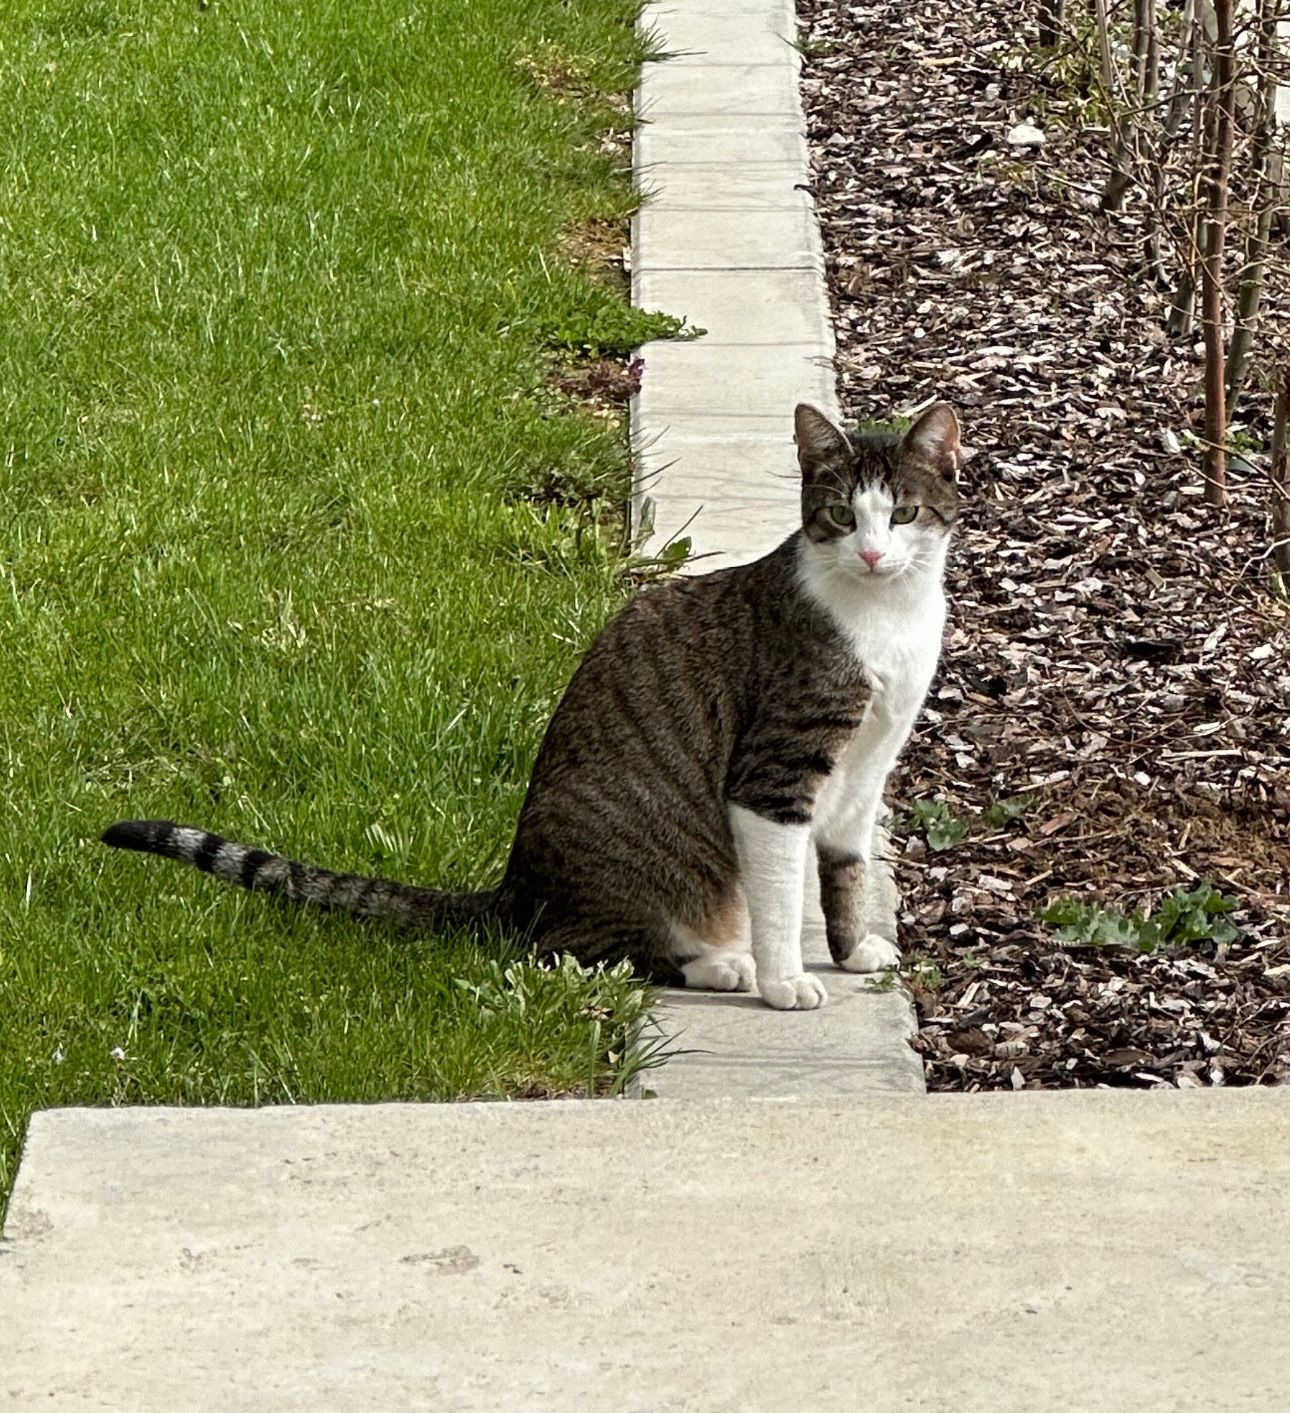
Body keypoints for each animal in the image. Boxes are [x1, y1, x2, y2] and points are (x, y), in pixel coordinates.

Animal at [103, 400, 961, 1010]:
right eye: (842, 516)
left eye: (903, 514)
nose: (873, 552)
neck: (885, 619)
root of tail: (515, 885)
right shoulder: (774, 771)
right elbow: (784, 893)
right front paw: (789, 981)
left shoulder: (867, 768)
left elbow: (846, 869)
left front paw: (852, 951)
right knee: (578, 945)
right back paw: (717, 964)